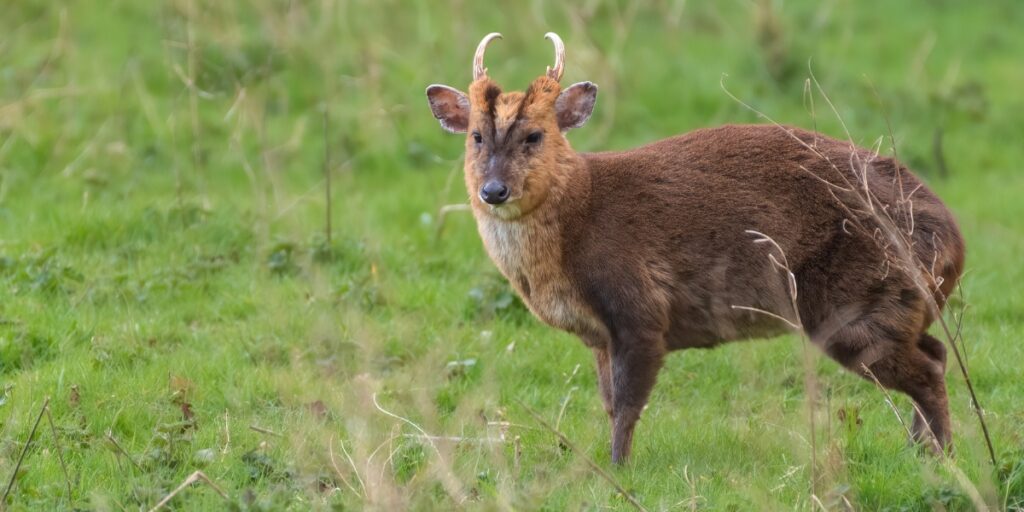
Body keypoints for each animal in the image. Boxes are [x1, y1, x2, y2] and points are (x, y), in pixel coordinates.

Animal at [425, 32, 965, 464]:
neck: (577, 223)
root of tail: (954, 243)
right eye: (476, 136)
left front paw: (616, 469)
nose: (493, 190)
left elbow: (626, 405)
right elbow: (607, 401)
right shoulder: (599, 336)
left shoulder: (640, 309)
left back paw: (941, 457)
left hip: (857, 303)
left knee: (928, 370)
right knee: (936, 352)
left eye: (535, 135)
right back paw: (920, 450)